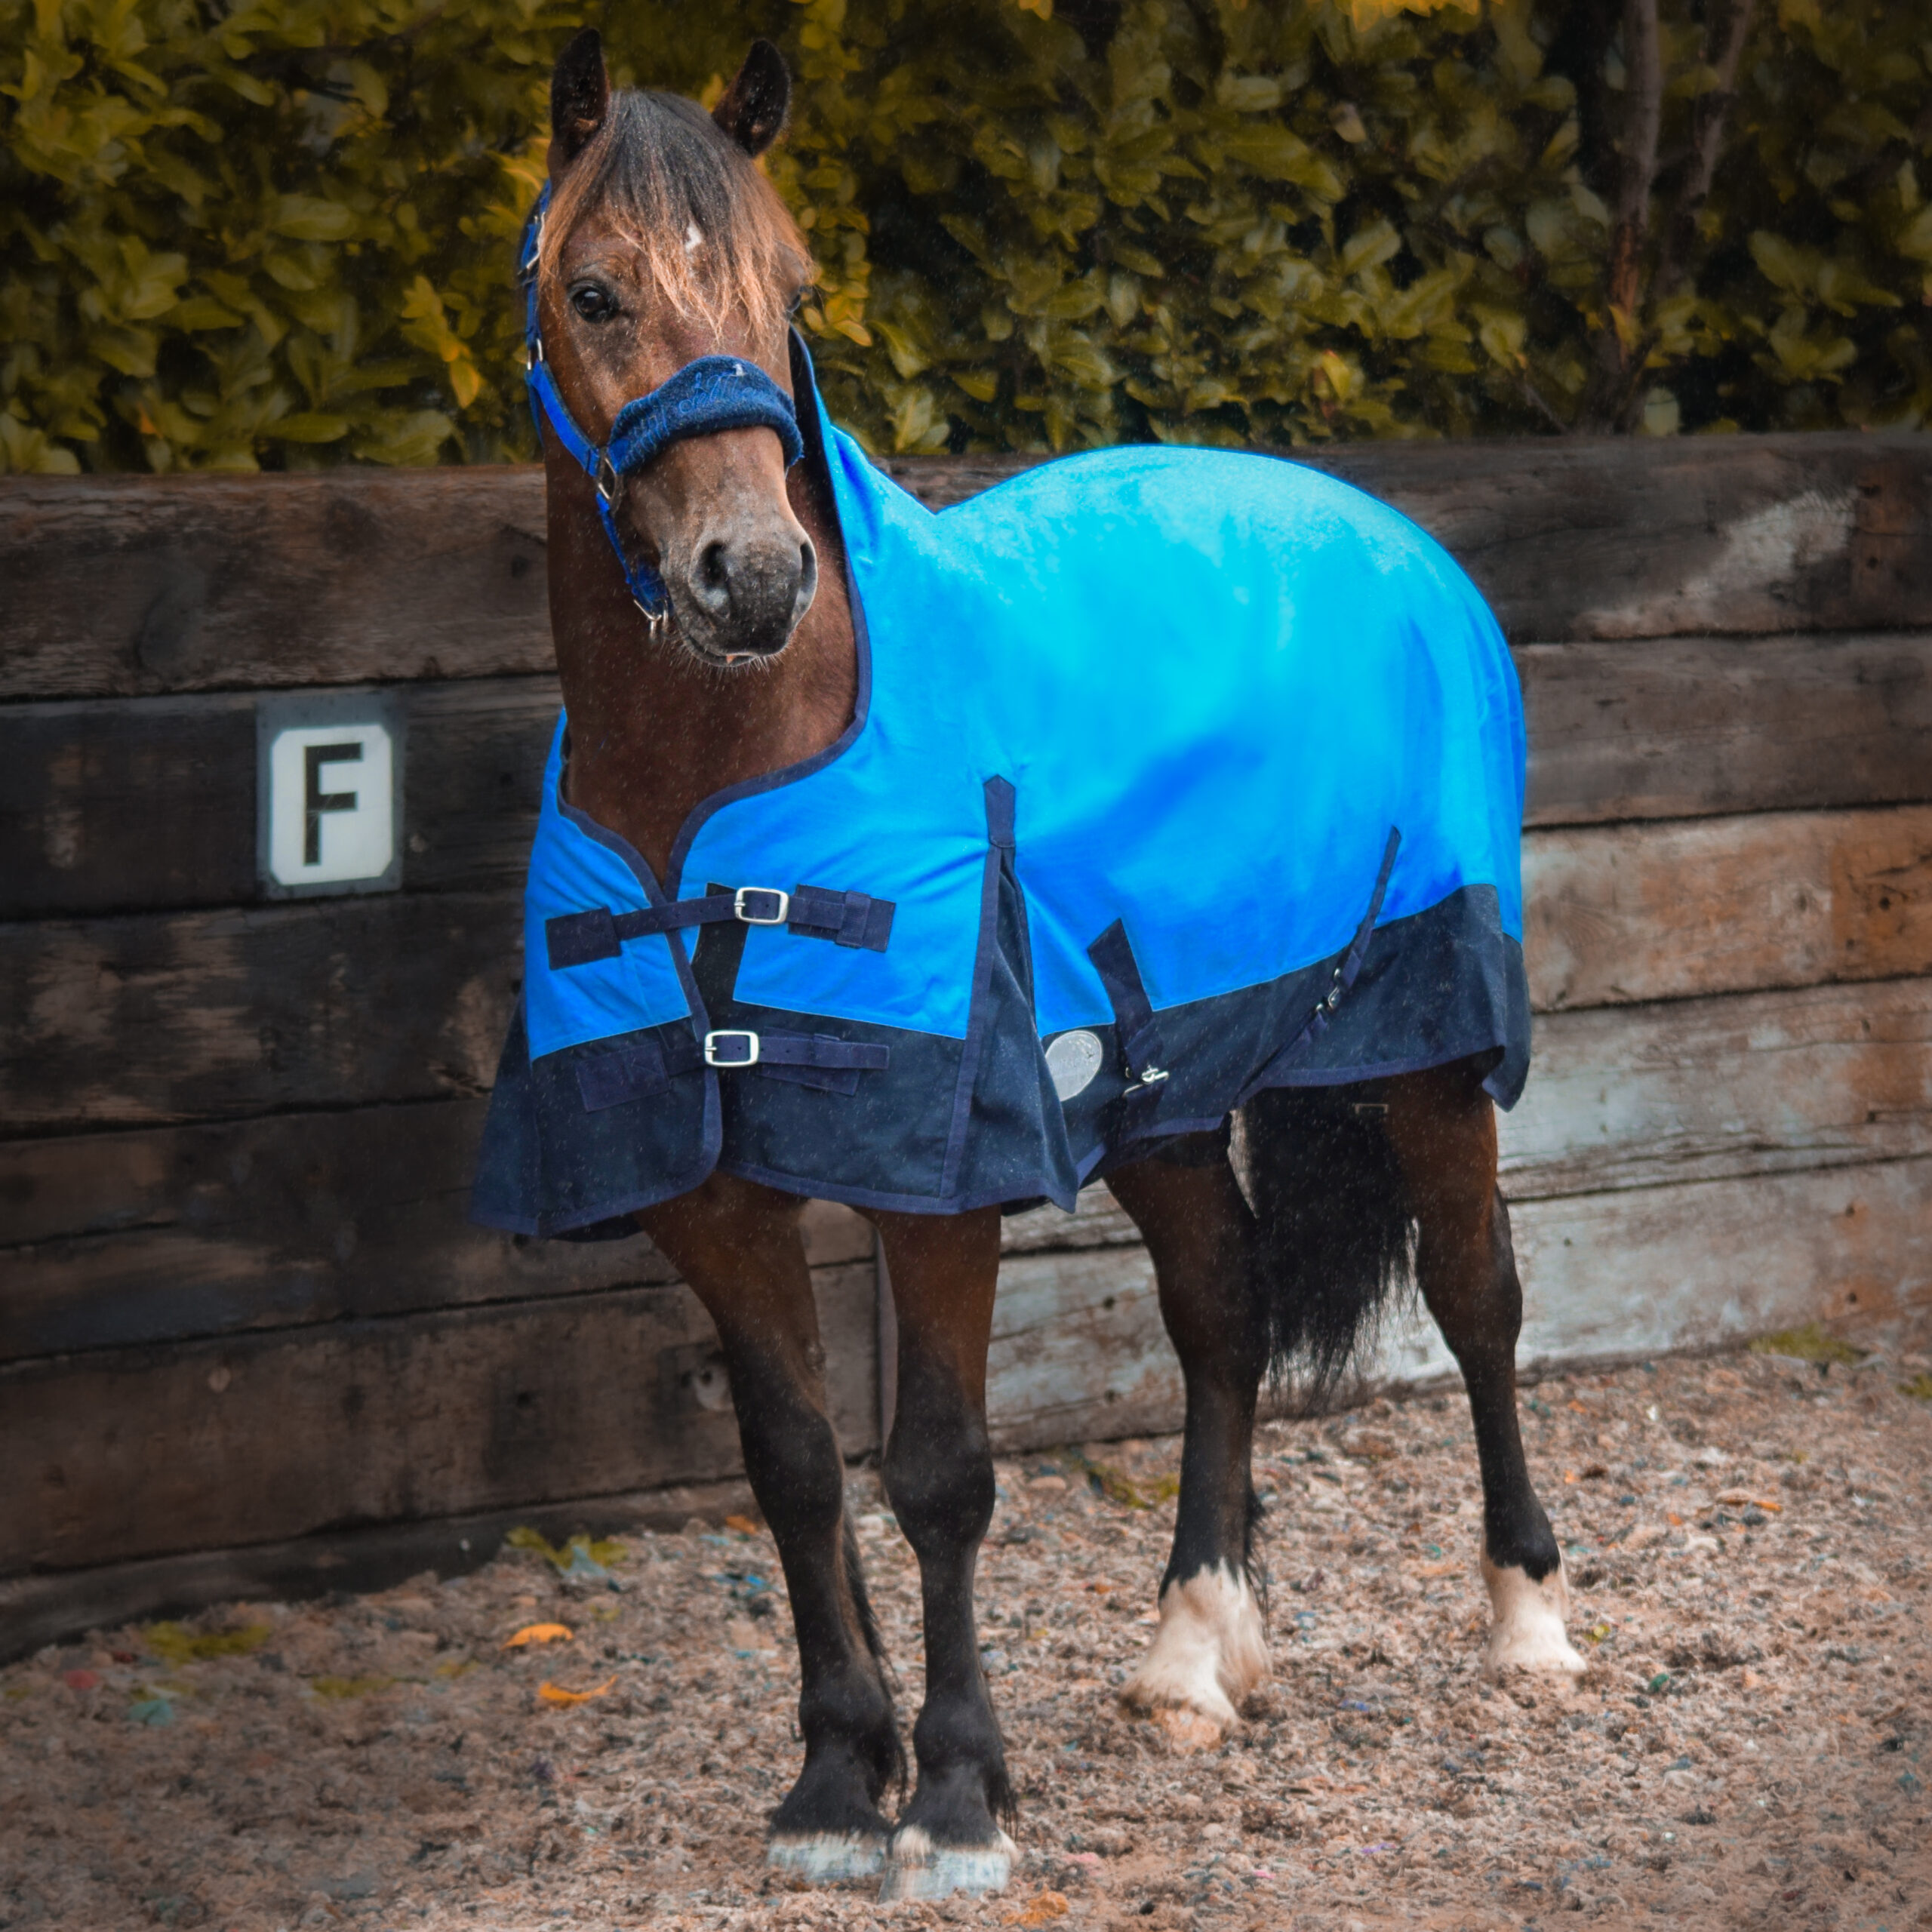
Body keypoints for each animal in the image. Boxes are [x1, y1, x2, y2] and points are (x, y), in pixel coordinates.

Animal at [472, 29, 1583, 1902]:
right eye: (595, 289)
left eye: (790, 291)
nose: (750, 572)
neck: (723, 772)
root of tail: (1391, 534)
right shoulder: (715, 1189)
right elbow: (792, 1466)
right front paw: (833, 1781)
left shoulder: (941, 1177)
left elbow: (937, 1472)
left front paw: (954, 1797)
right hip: (1159, 1085)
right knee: (1222, 1307)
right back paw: (1194, 1651)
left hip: (1423, 1041)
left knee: (1476, 1292)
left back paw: (1525, 1622)